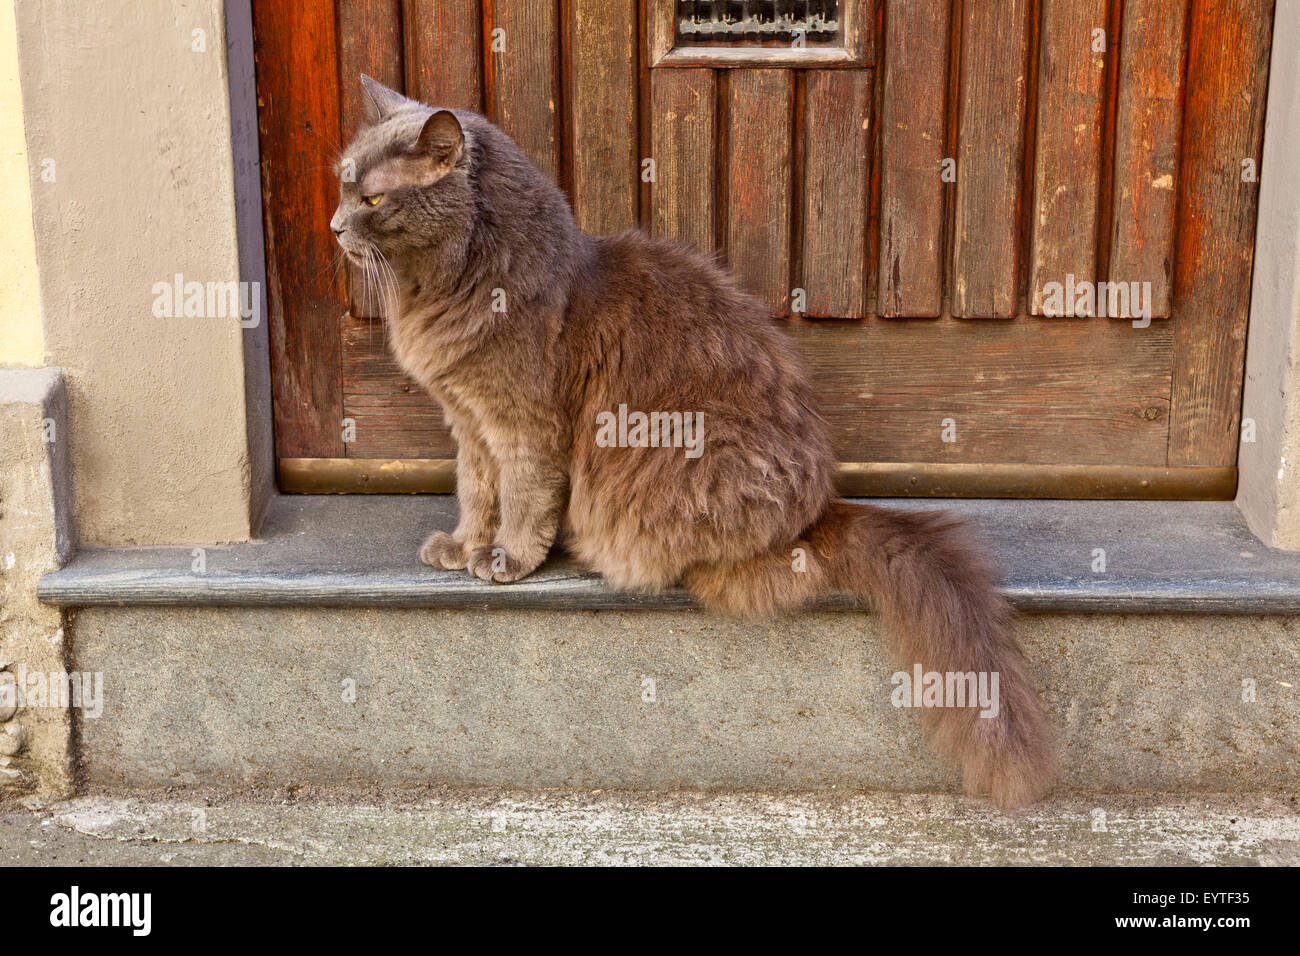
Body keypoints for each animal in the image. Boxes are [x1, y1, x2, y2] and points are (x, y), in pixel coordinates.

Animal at [330, 76, 1050, 806]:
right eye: (343, 185)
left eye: (372, 200)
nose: (333, 226)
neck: (452, 286)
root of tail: (819, 514)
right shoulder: (469, 424)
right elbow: (475, 492)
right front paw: (461, 546)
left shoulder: (521, 424)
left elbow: (524, 498)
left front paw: (506, 558)